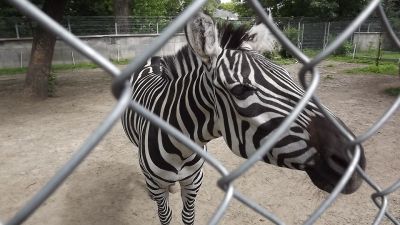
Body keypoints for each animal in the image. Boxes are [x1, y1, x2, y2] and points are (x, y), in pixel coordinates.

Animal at [121, 12, 366, 225]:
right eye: (240, 90)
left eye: (288, 76)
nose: (353, 158)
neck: (182, 148)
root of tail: (153, 61)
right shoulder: (161, 186)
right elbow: (166, 216)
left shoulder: (194, 182)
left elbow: (188, 216)